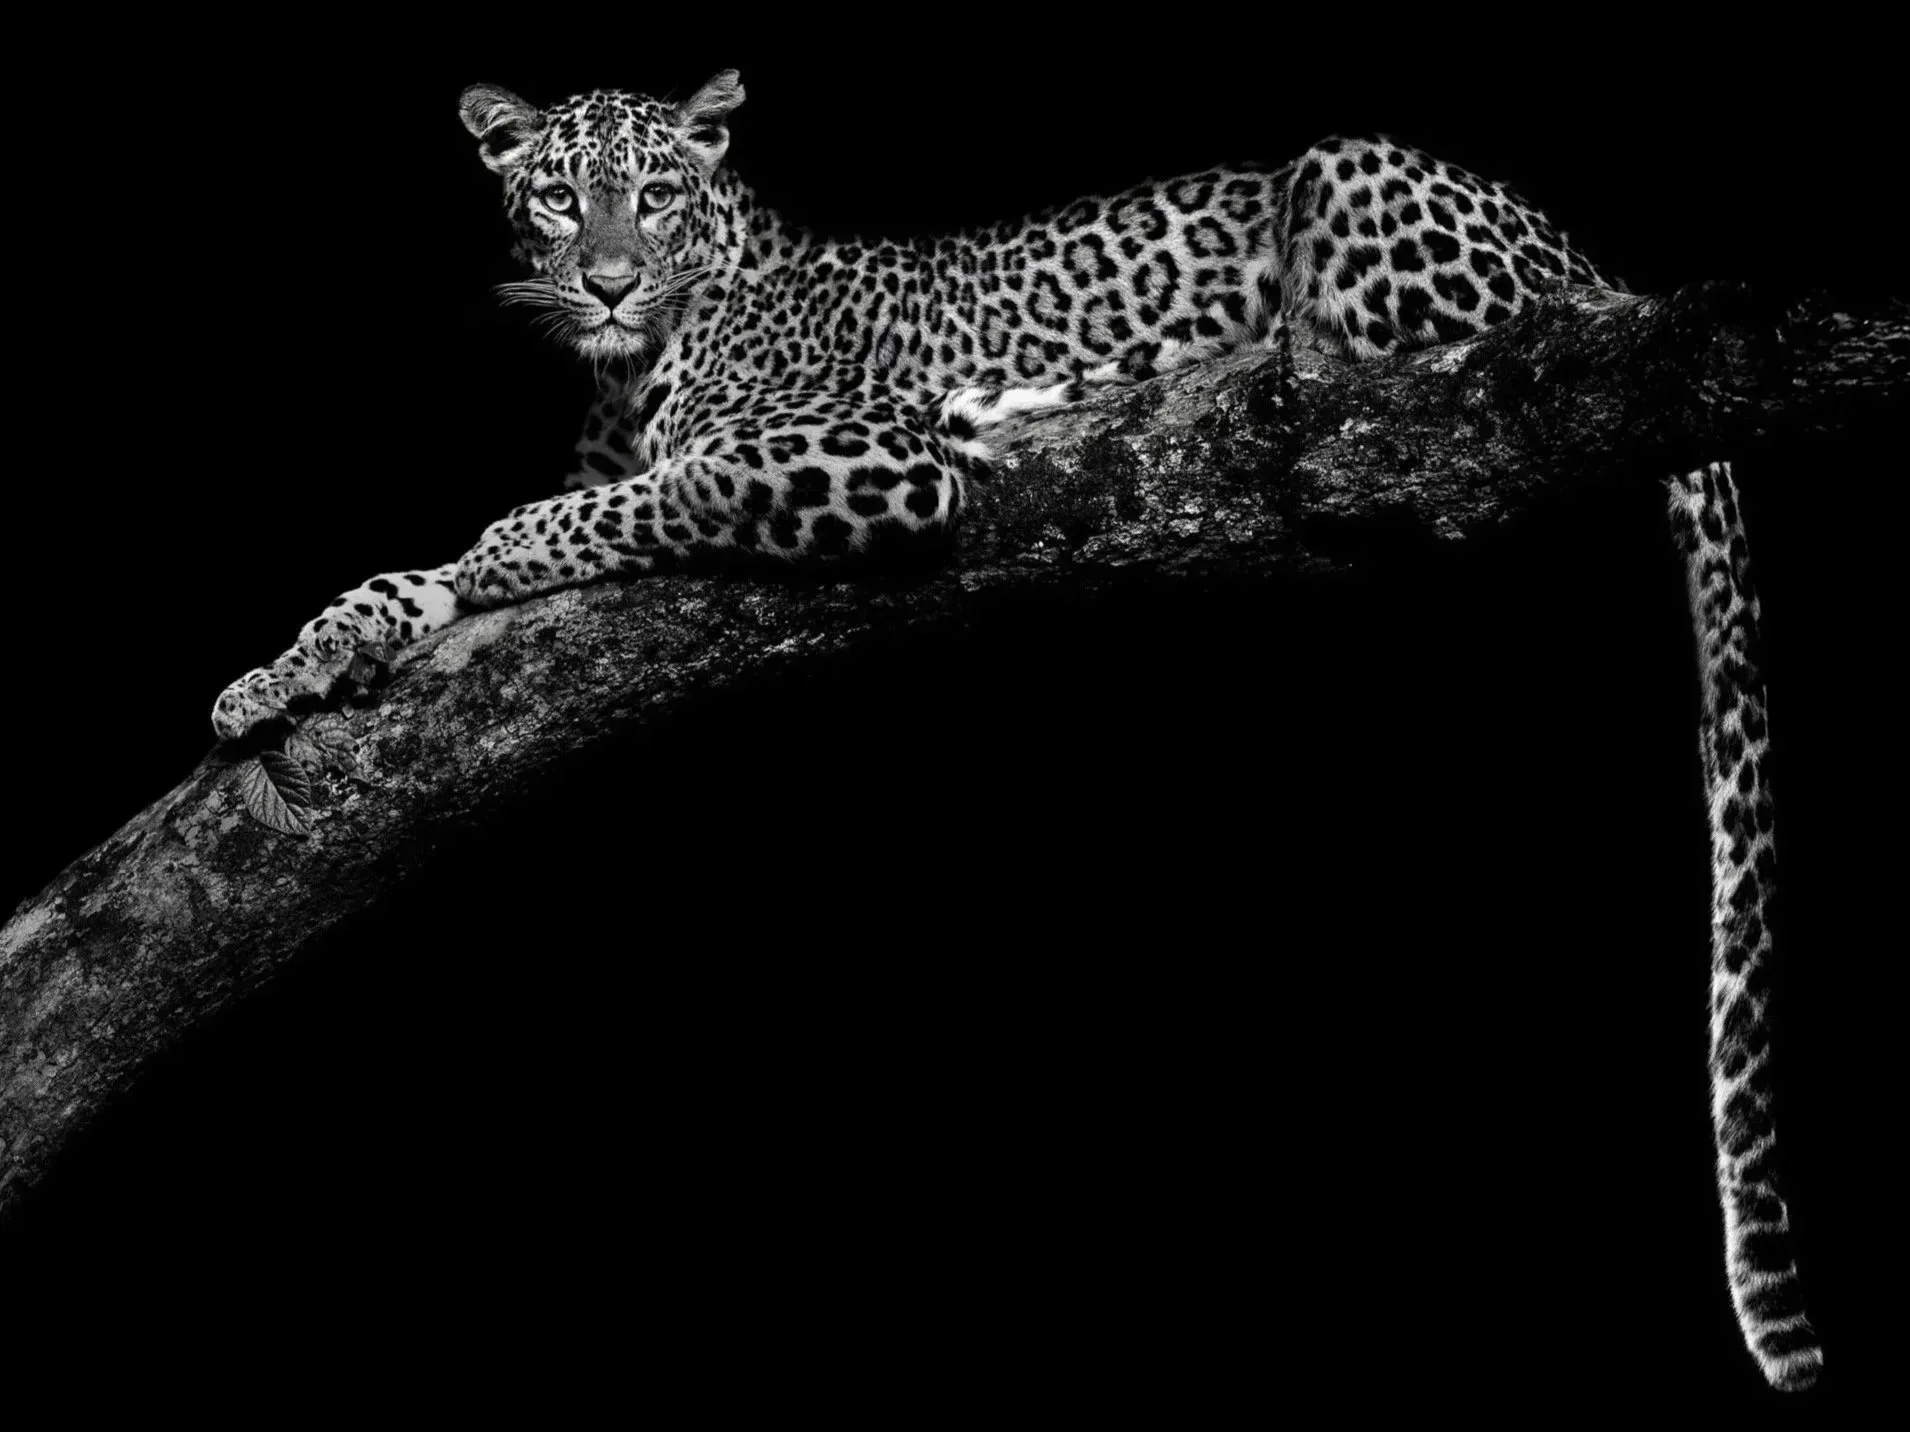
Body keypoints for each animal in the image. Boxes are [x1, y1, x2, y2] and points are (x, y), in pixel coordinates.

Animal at [209, 71, 1822, 1391]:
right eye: (559, 193)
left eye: (654, 195)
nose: (606, 282)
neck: (640, 354)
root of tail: (1603, 269)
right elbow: (407, 577)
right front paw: (279, 673)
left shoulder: (863, 459)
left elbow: (606, 503)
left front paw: (492, 550)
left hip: (1348, 175)